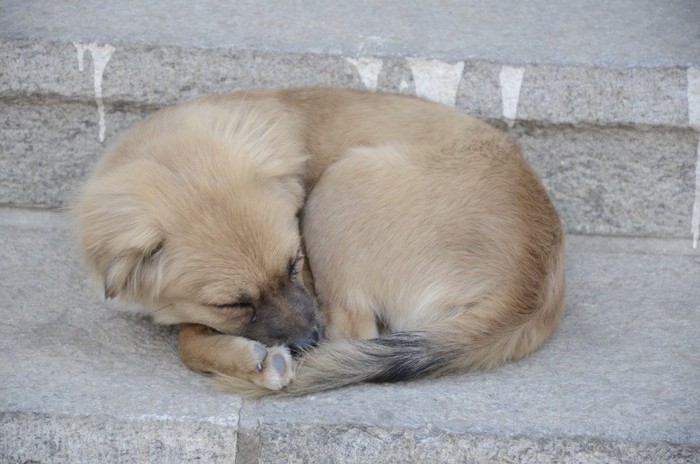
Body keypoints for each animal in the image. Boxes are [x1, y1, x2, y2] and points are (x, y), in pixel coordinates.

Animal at [72, 89, 564, 396]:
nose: (310, 341)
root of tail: (531, 283)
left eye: (295, 262)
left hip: (340, 187)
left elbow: (186, 339)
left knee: (355, 331)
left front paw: (249, 360)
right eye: (232, 304)